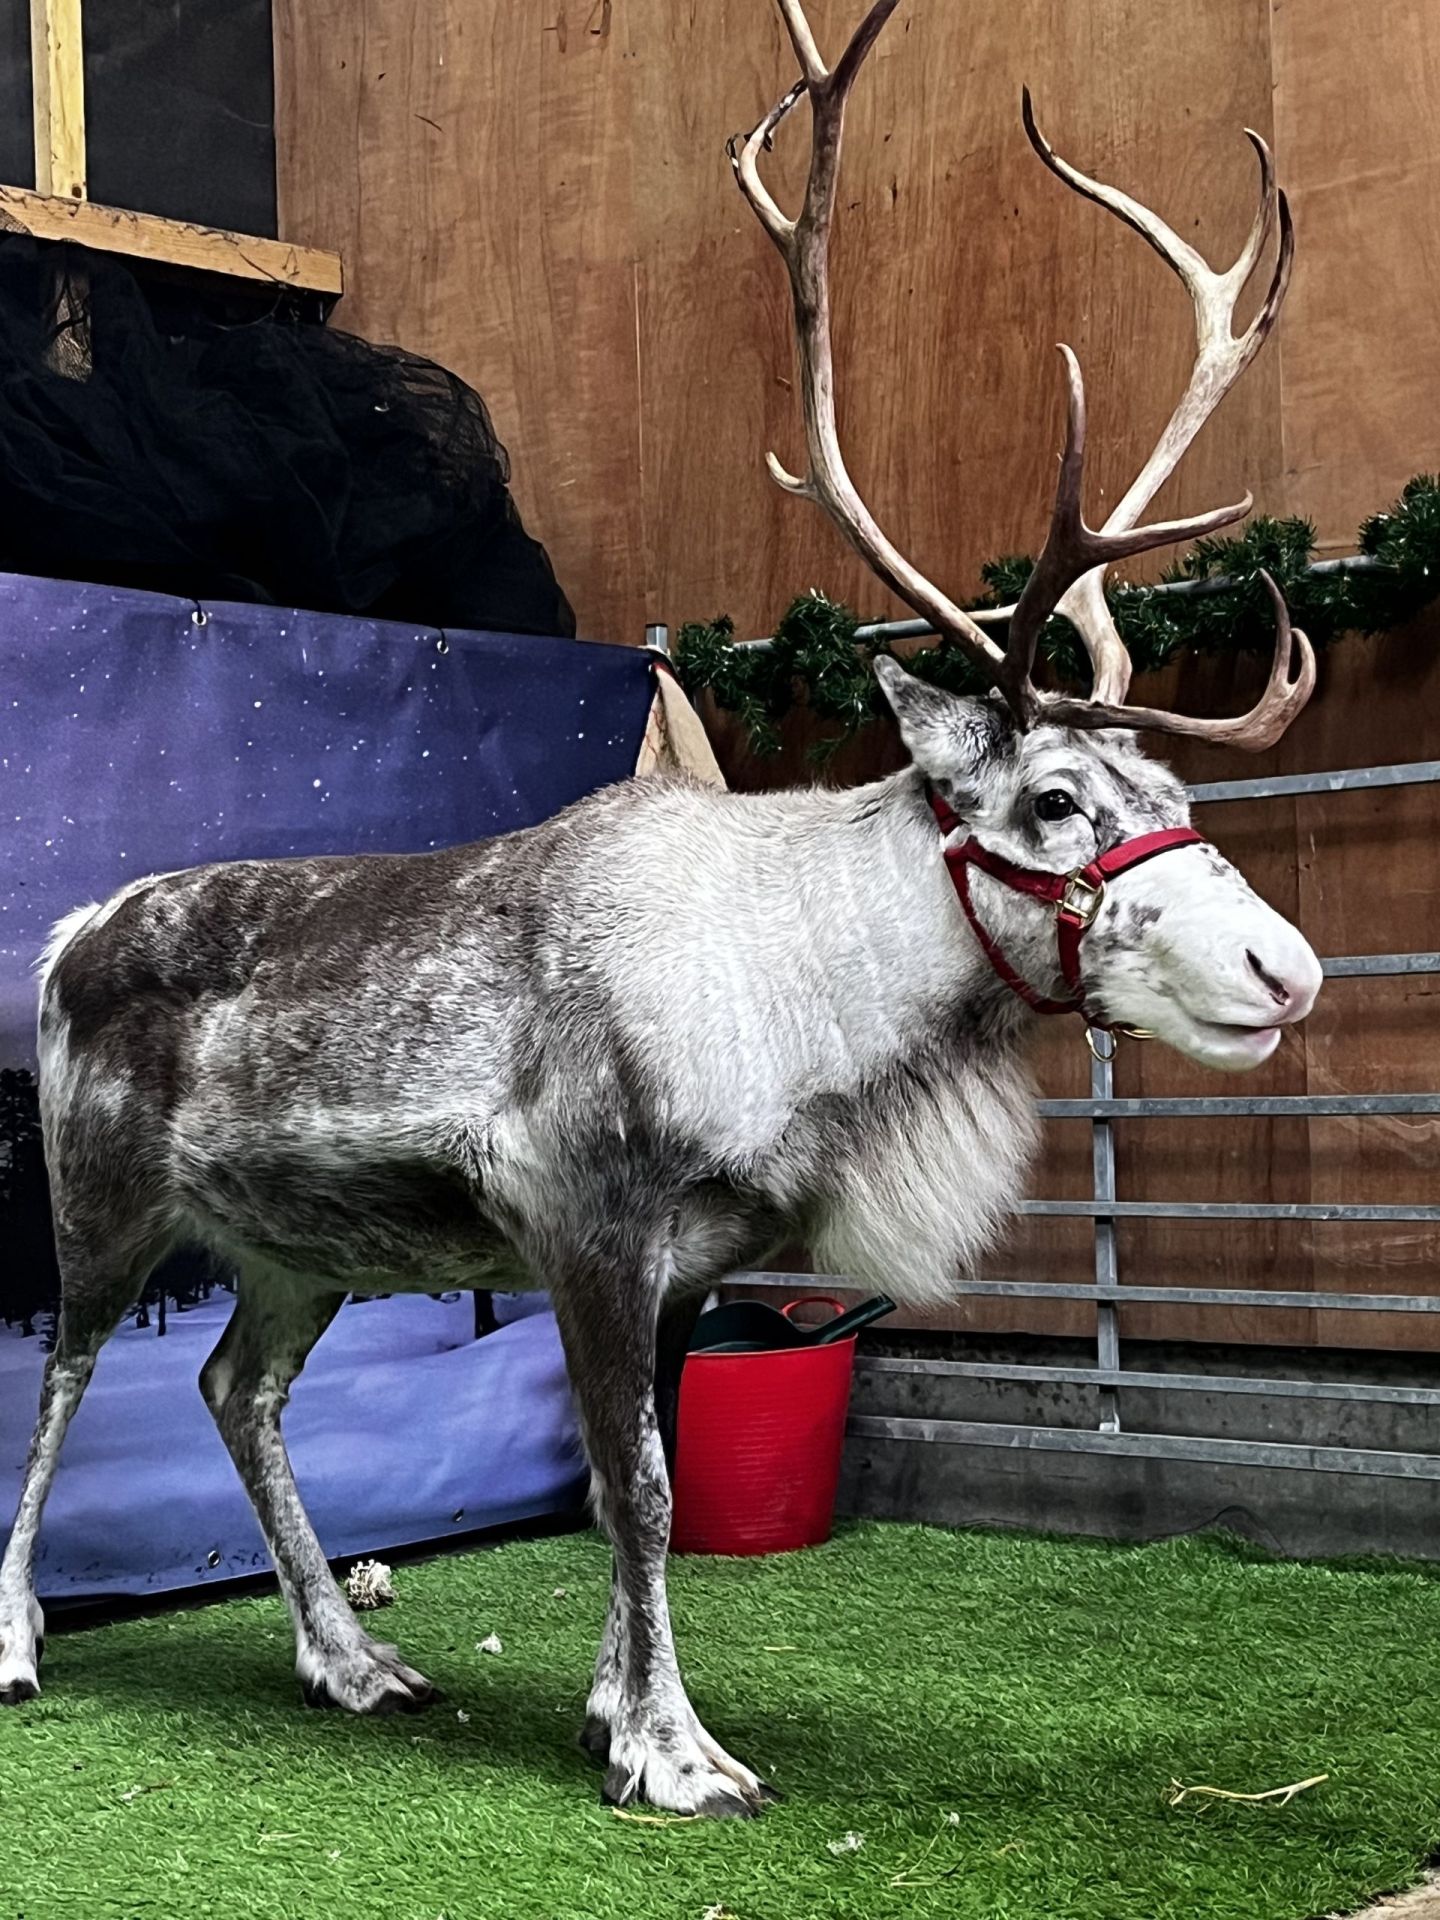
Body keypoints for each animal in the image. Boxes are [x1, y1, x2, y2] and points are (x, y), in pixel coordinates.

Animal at [0, 0, 1322, 1819]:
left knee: (234, 1389)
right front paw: (678, 1755)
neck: (814, 1005)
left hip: (294, 1248)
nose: (1288, 966)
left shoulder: (694, 1262)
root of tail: (69, 933)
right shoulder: (590, 1226)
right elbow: (638, 1490)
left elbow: (662, 1482)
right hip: (105, 1202)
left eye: (1176, 793)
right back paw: (19, 1644)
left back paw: (349, 1661)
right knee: (64, 1382)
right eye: (1055, 801)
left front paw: (614, 1712)